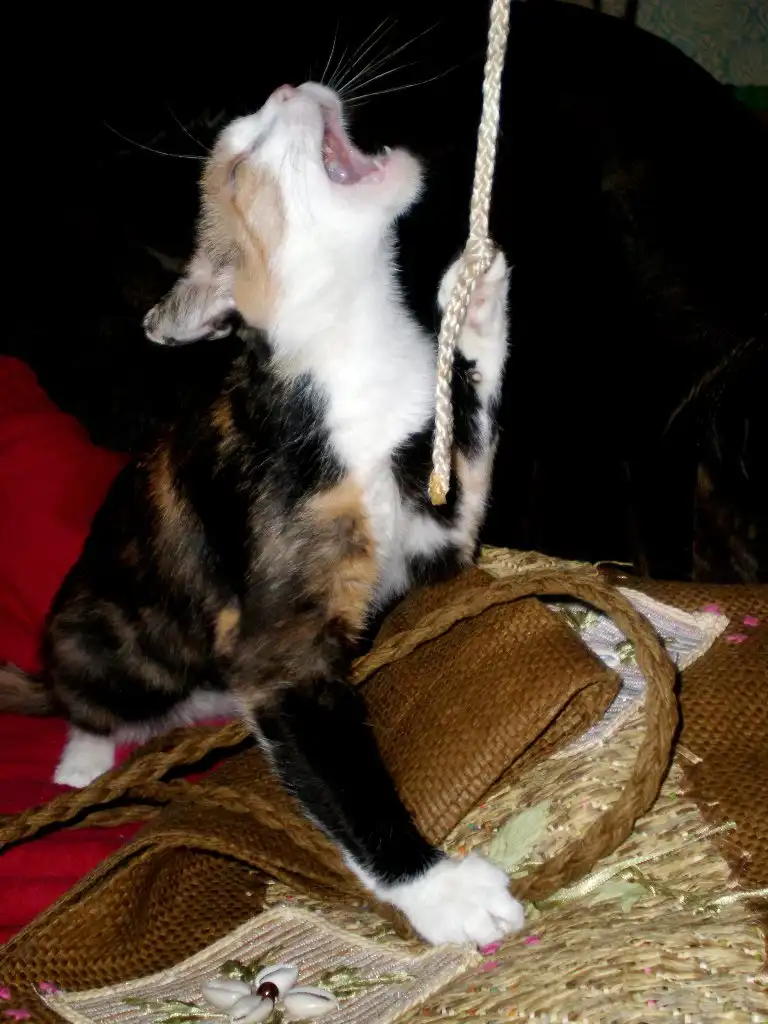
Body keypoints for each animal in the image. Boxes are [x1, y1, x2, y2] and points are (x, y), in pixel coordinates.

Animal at [1, 82, 522, 947]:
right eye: (242, 156)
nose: (289, 89)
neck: (351, 357)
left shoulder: (437, 536)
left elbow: (468, 453)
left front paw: (475, 303)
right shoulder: (279, 652)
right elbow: (342, 777)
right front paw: (438, 891)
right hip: (112, 638)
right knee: (87, 697)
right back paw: (82, 756)